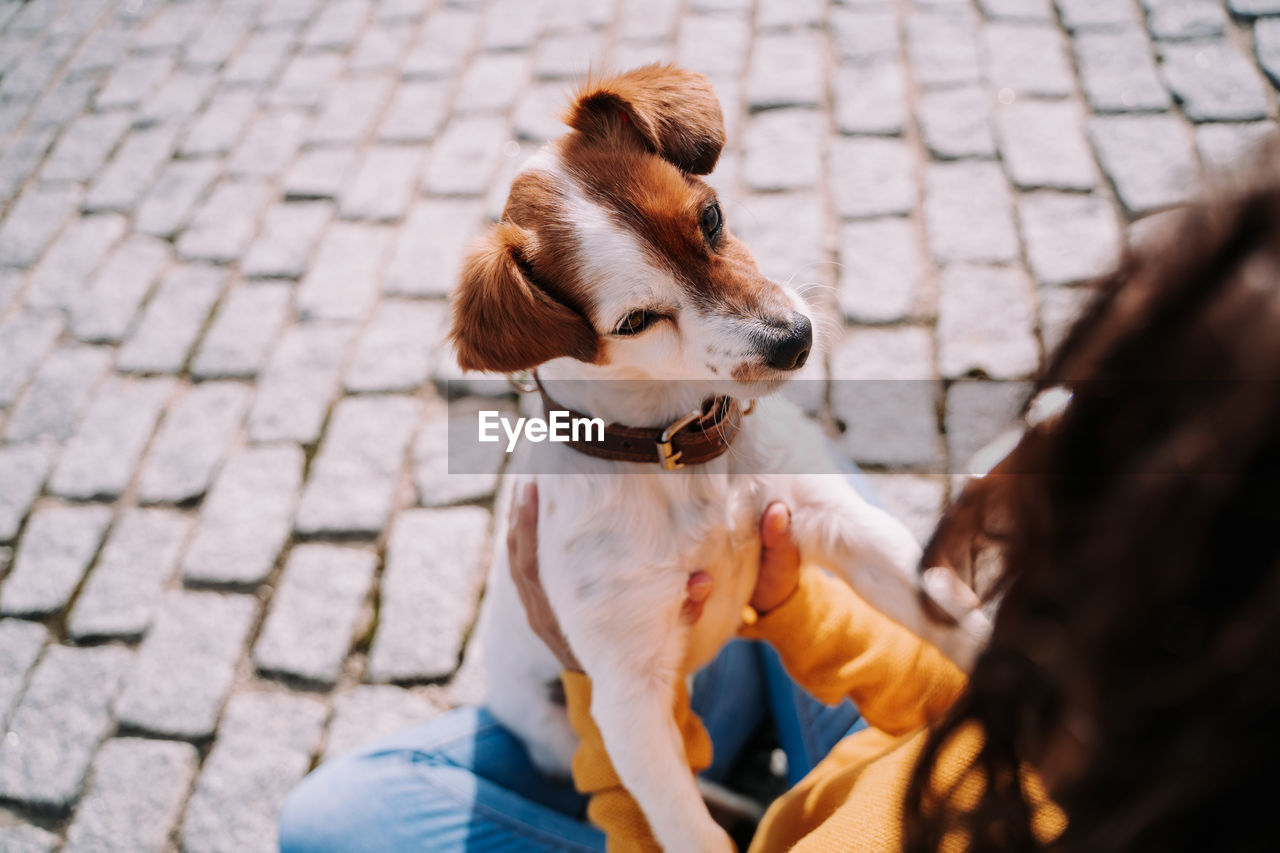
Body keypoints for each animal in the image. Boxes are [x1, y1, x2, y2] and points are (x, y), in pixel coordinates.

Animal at [450, 63, 988, 845]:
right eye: (636, 321)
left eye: (709, 219)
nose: (795, 340)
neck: (680, 456)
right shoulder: (627, 693)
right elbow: (685, 828)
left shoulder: (841, 524)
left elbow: (950, 610)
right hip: (551, 727)